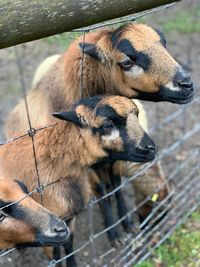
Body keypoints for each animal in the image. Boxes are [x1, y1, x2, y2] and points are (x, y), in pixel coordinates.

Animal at [1, 96, 156, 267]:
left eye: (137, 115)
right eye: (108, 125)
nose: (151, 148)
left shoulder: (67, 218)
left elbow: (69, 243)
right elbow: (56, 256)